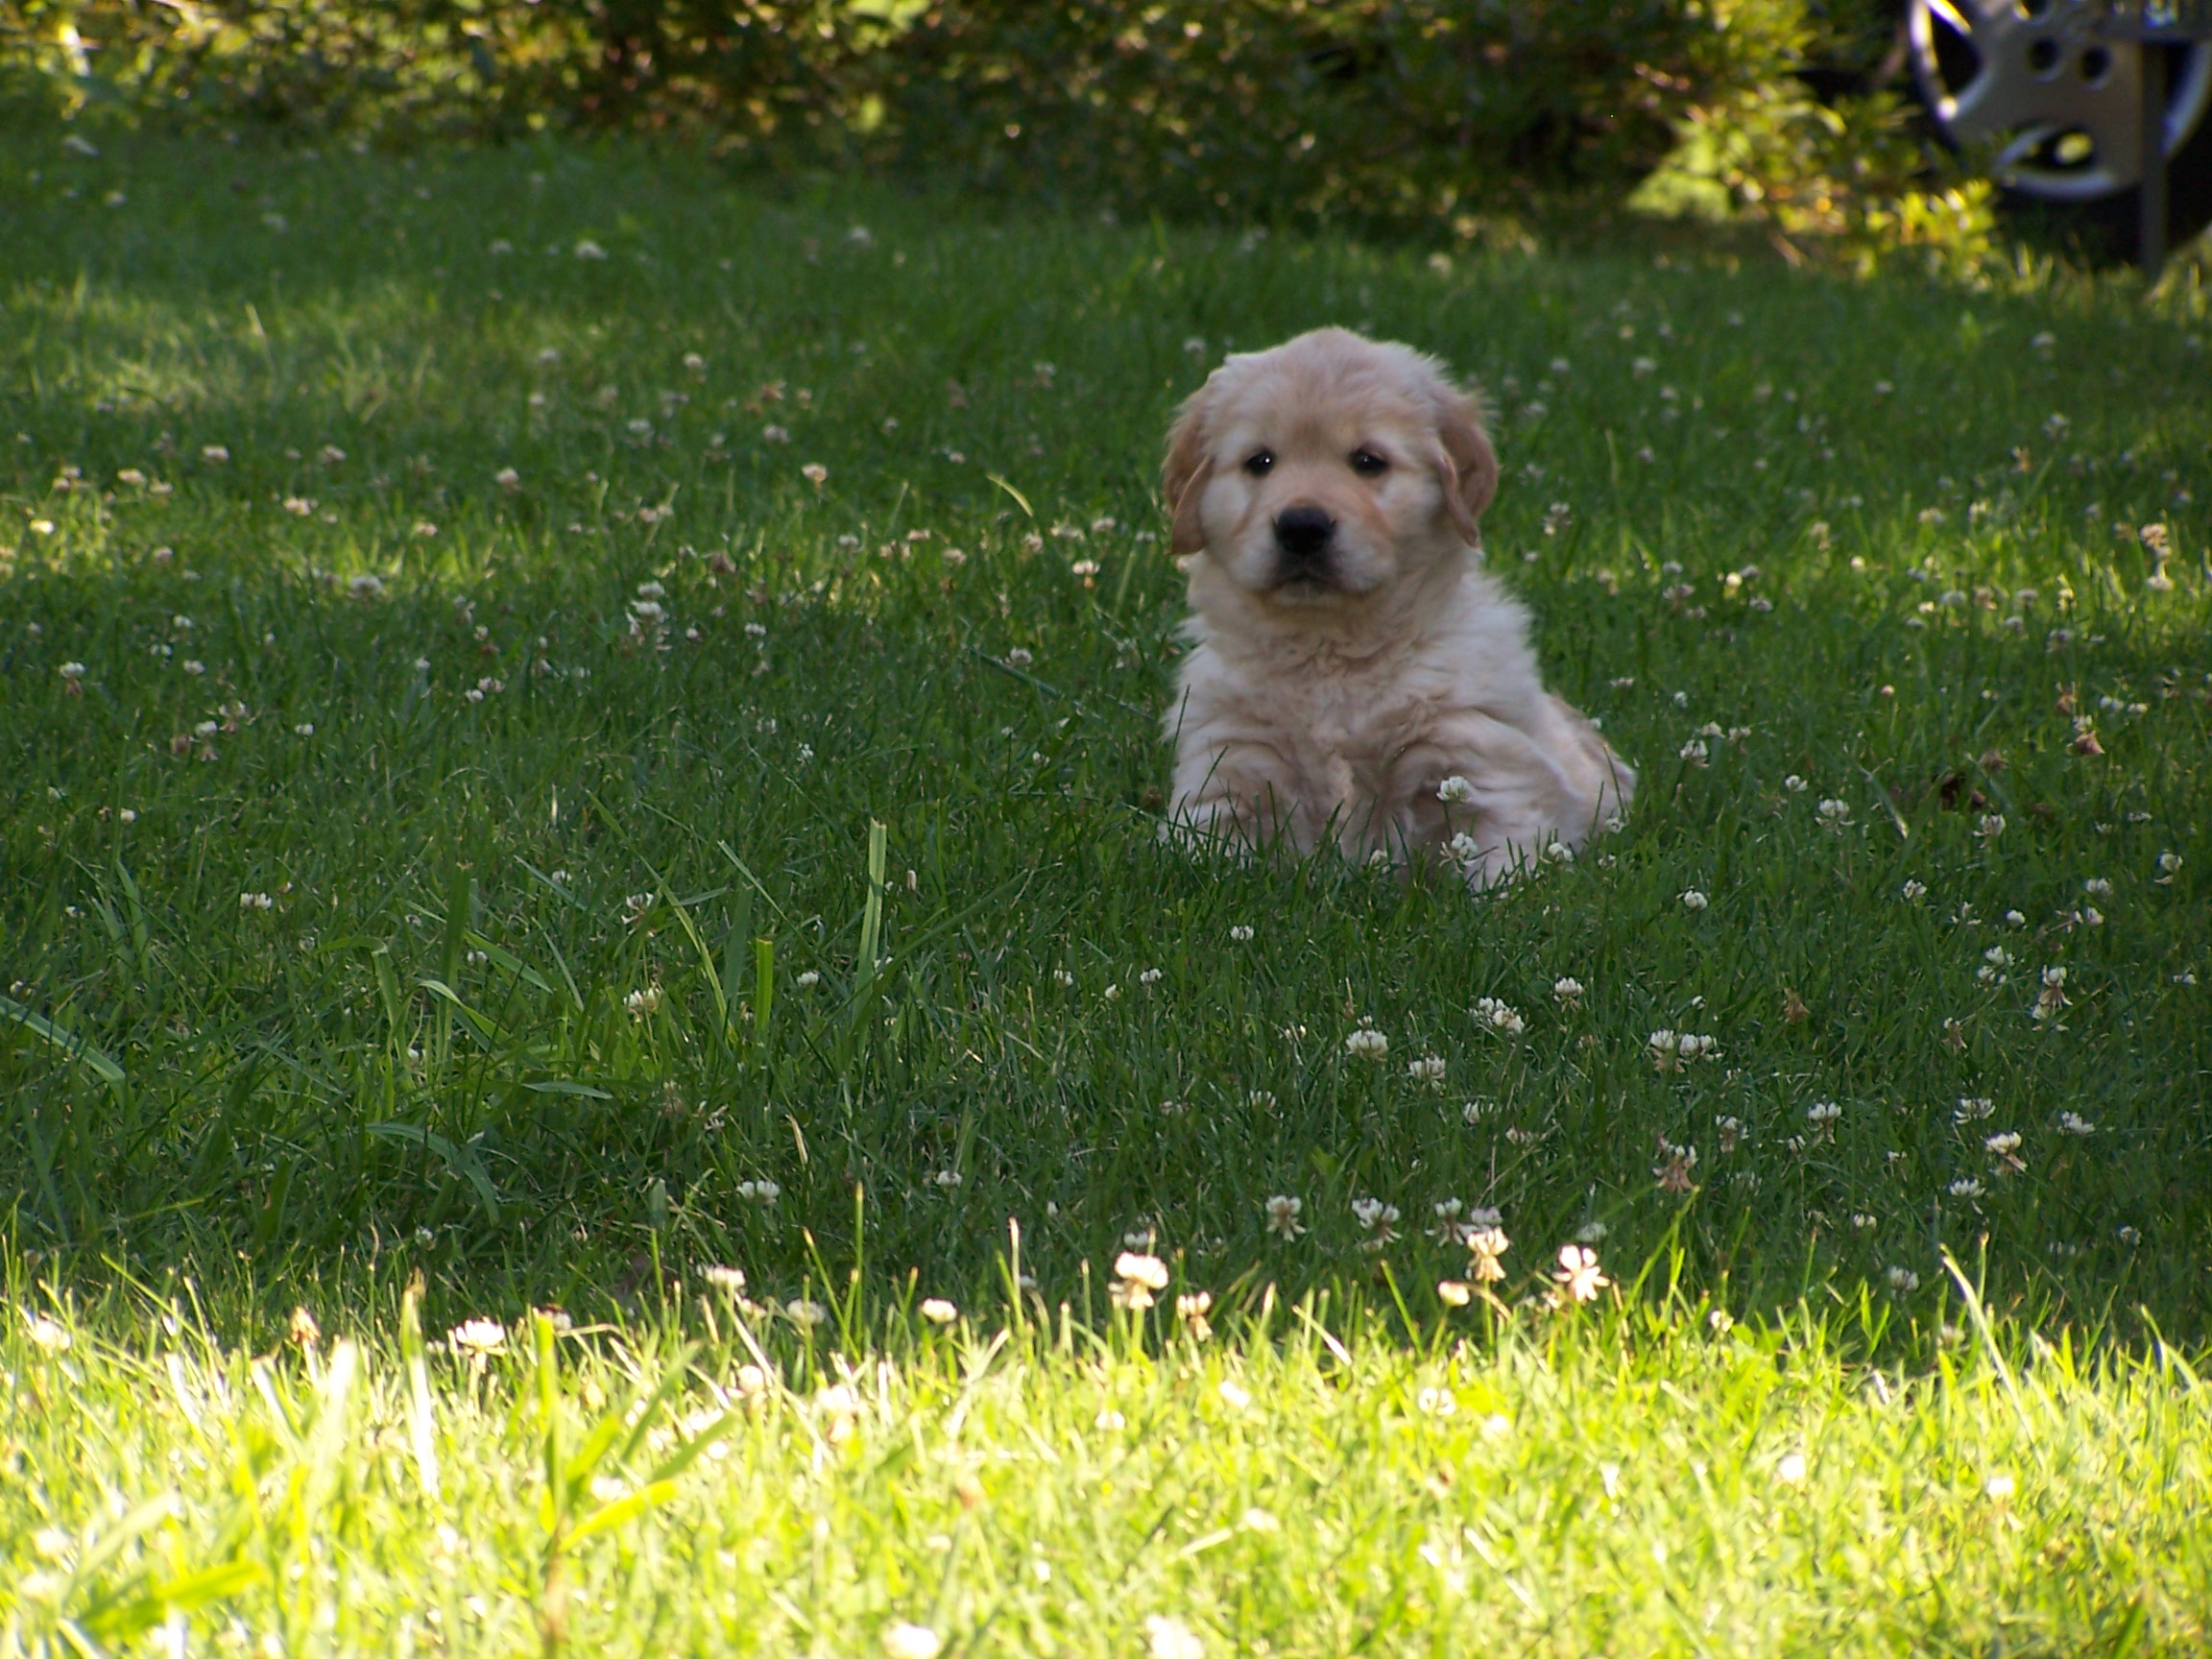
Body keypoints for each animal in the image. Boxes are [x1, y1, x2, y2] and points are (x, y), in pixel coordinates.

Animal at [1160, 327, 1632, 886]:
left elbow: (1499, 868)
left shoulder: (1483, 770)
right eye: (1260, 461)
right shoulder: (1226, 768)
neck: (1330, 659)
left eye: (1369, 461)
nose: (1302, 526)